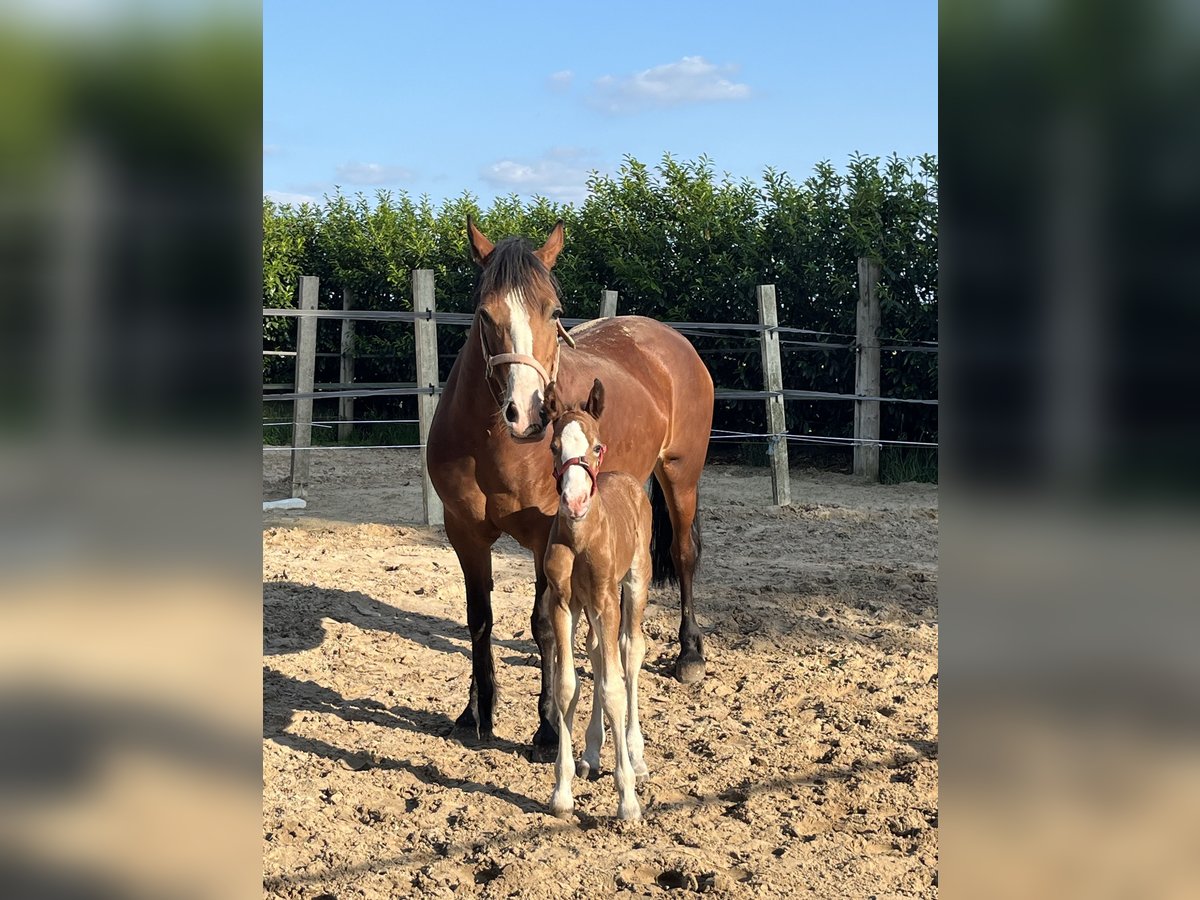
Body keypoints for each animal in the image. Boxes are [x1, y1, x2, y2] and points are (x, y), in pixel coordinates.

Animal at [426, 218, 714, 757]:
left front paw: (545, 728)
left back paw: (689, 655)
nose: (525, 412)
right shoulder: (464, 533)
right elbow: (479, 617)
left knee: (683, 555)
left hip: (680, 476)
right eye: (484, 313)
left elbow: (543, 623)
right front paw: (476, 712)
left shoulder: (545, 536)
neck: (495, 444)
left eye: (554, 312)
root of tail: (669, 340)